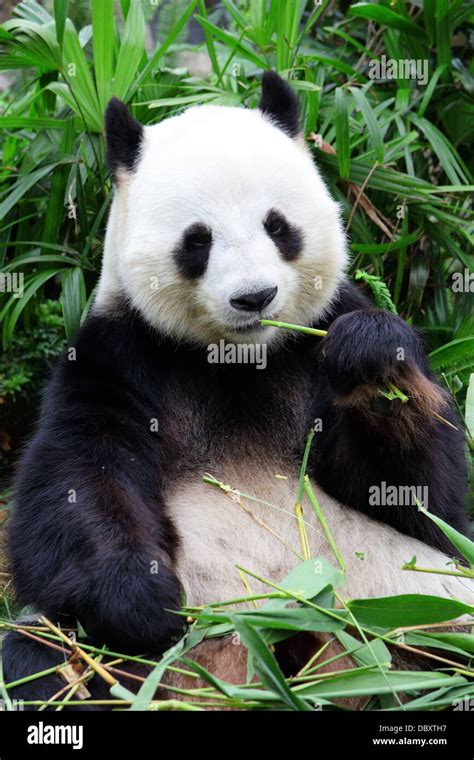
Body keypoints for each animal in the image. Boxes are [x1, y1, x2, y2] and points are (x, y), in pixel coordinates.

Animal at [1, 71, 472, 708]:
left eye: (278, 226)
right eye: (197, 240)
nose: (255, 297)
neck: (238, 360)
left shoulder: (316, 337)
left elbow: (424, 500)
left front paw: (370, 354)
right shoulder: (120, 356)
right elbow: (77, 482)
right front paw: (144, 600)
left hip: (408, 607)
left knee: (437, 629)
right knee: (44, 655)